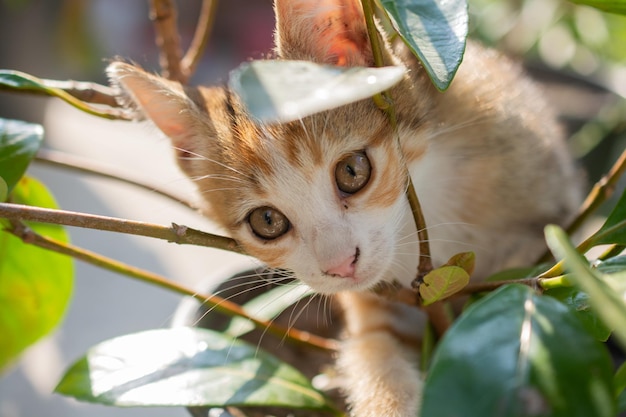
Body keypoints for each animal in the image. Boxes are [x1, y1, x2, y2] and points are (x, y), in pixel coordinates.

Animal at [106, 0, 580, 414]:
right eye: (267, 221)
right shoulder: (378, 301)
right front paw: (389, 401)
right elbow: (375, 353)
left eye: (352, 171)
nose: (340, 266)